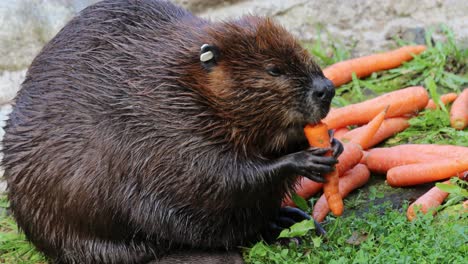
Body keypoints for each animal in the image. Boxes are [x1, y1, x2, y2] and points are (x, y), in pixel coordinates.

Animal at [1, 0, 342, 264]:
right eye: (274, 69)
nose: (326, 89)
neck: (186, 84)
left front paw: (334, 143)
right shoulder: (169, 123)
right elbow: (215, 176)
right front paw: (305, 159)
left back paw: (290, 221)